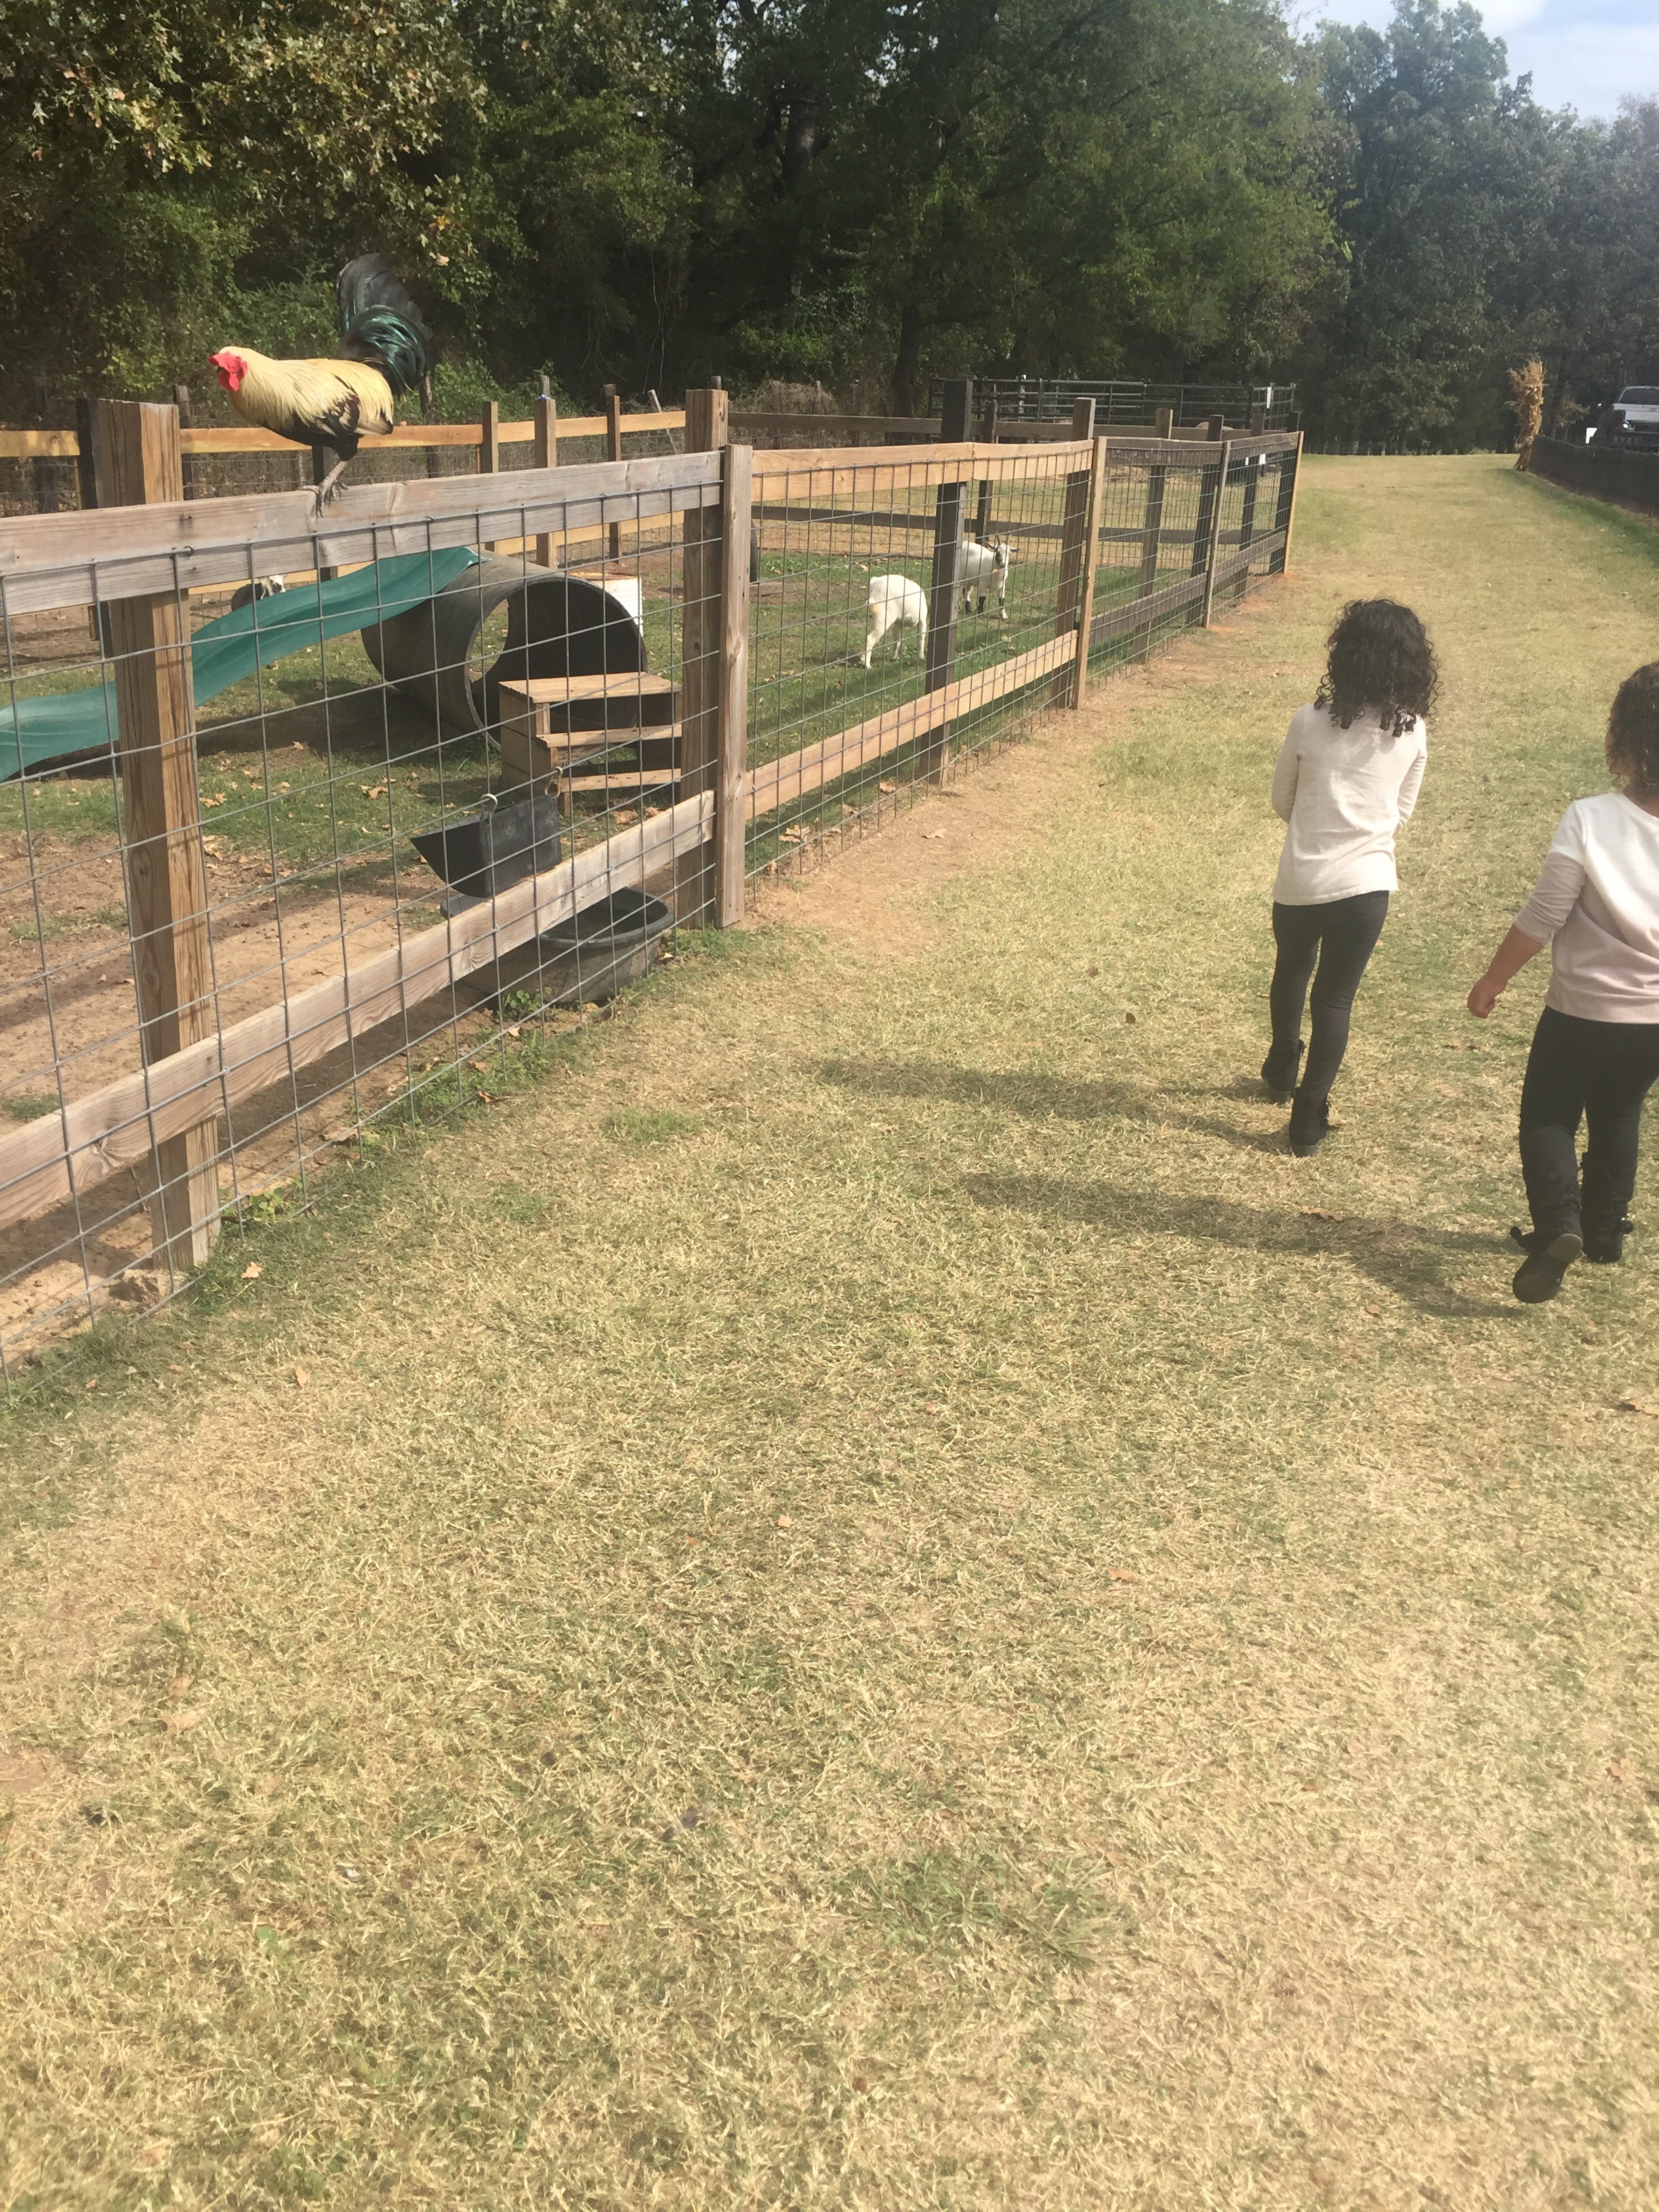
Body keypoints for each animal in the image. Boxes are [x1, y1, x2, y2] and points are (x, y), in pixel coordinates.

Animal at [862, 573, 928, 668]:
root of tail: (875, 582)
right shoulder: (922, 620)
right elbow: (921, 639)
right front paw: (921, 657)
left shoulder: (899, 622)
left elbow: (897, 641)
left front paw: (894, 658)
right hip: (884, 617)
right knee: (870, 639)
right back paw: (867, 665)